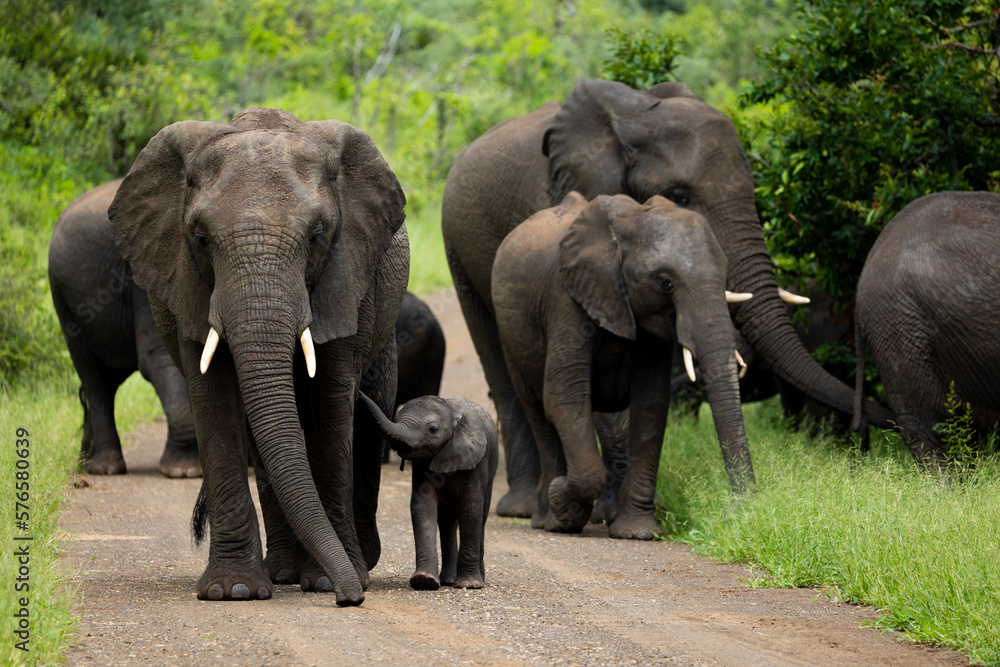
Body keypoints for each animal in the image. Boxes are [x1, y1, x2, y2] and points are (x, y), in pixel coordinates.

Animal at [48, 179, 200, 478]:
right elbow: (157, 358)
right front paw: (183, 472)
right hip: (64, 302)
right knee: (94, 377)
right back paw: (104, 469)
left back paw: (86, 463)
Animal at [107, 107, 408, 605]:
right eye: (199, 238)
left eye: (318, 236)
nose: (351, 600)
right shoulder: (186, 283)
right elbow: (214, 401)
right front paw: (232, 591)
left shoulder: (345, 272)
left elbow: (331, 402)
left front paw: (328, 581)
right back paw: (284, 571)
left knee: (369, 417)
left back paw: (354, 562)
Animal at [358, 392, 498, 590]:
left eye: (432, 429)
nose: (359, 394)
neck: (451, 410)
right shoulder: (422, 462)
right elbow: (423, 505)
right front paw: (424, 581)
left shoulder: (477, 459)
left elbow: (471, 507)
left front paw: (469, 585)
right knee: (447, 522)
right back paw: (448, 580)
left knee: (482, 516)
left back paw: (477, 579)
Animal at [492, 193, 752, 537]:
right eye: (665, 282)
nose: (738, 510)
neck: (630, 221)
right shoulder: (566, 302)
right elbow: (564, 398)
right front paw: (565, 503)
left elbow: (651, 405)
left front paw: (637, 533)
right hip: (509, 334)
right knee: (538, 412)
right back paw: (549, 520)